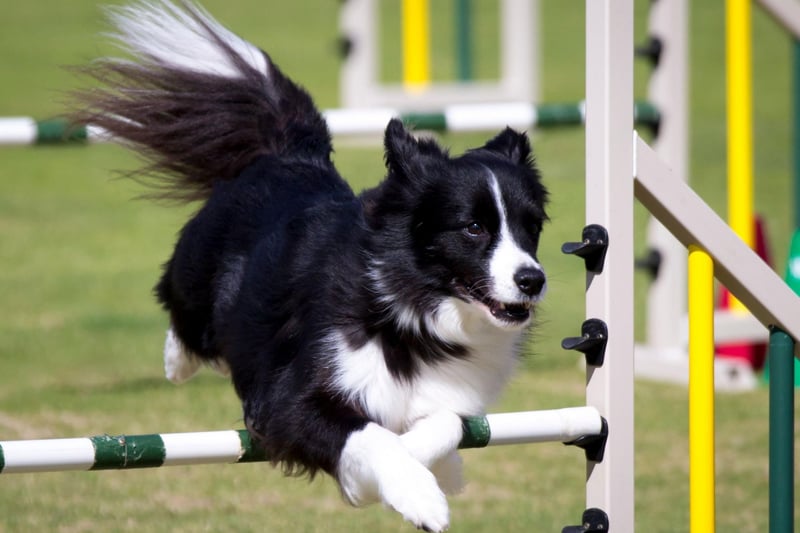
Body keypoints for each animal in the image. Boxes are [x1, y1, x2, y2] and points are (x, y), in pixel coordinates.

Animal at [75, 2, 548, 528]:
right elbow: (369, 433)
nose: (533, 280)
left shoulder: (445, 394)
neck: (409, 307)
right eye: (473, 228)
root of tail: (289, 153)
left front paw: (438, 472)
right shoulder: (287, 399)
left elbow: (442, 423)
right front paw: (416, 494)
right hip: (199, 280)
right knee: (184, 313)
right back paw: (177, 361)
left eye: (532, 227)